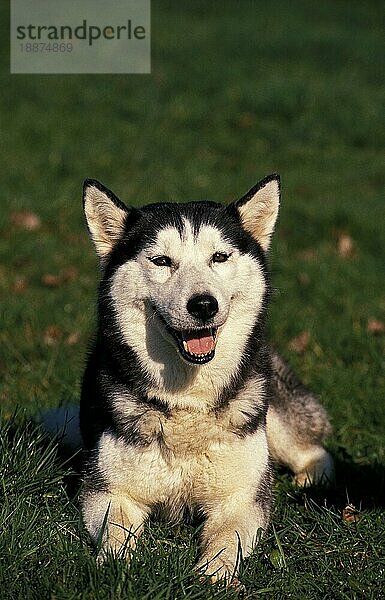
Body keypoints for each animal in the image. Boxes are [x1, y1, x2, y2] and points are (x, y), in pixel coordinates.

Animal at [76, 176, 332, 584]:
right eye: (162, 261)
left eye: (219, 257)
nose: (203, 304)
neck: (188, 400)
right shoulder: (108, 490)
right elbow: (116, 531)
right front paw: (114, 569)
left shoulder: (242, 497)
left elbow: (227, 536)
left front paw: (212, 575)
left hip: (271, 408)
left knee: (313, 452)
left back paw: (307, 481)